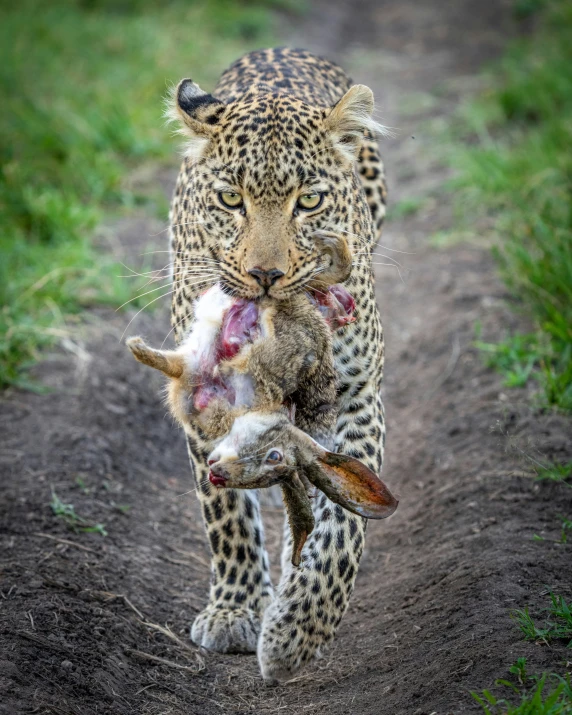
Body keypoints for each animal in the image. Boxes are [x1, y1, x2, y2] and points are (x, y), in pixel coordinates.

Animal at [165, 46, 388, 684]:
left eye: (308, 201)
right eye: (230, 200)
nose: (266, 275)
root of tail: (283, 50)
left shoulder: (354, 392)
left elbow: (345, 520)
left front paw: (297, 631)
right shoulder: (204, 396)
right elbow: (225, 509)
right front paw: (237, 609)